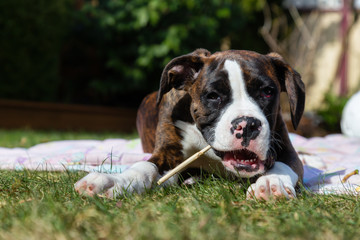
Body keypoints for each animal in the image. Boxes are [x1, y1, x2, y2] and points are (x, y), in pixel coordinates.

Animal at [74, 48, 306, 201]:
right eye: (213, 96)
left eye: (267, 92)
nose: (247, 125)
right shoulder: (168, 153)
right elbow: (145, 166)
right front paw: (115, 181)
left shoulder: (285, 149)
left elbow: (284, 164)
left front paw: (272, 182)